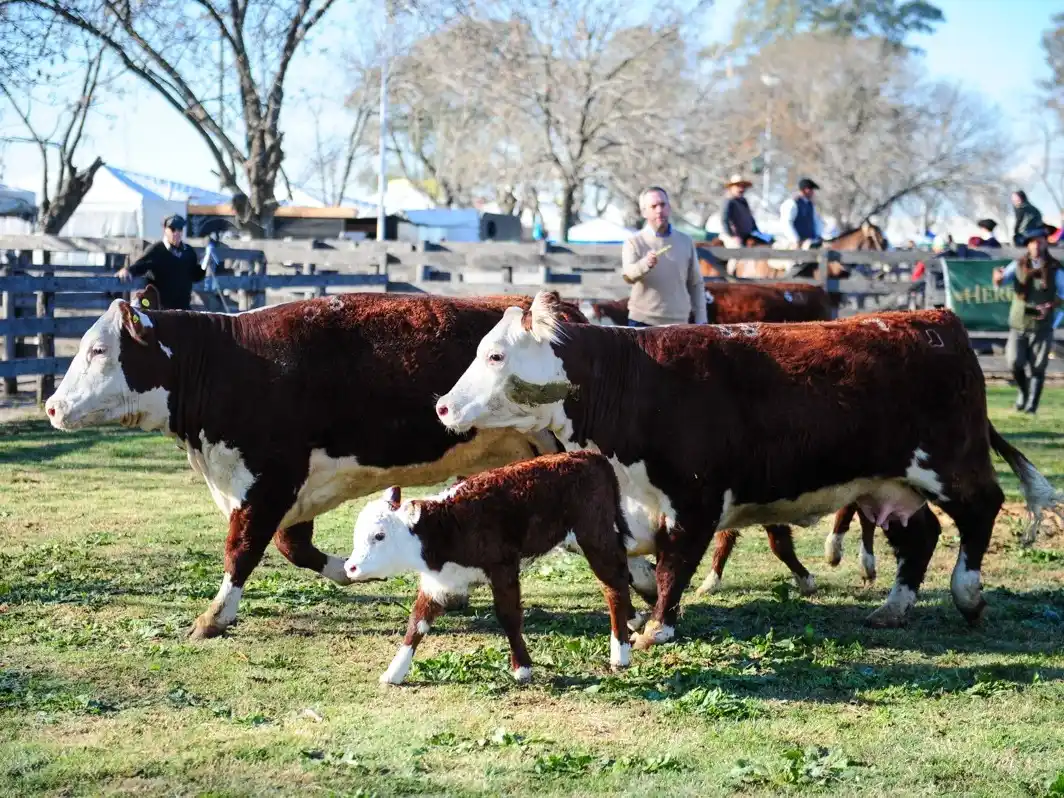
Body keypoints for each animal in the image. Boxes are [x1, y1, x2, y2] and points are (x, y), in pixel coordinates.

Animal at [43, 292, 619, 641]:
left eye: (98, 350)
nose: (51, 405)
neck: (229, 363)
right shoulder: (290, 492)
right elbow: (293, 548)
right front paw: (350, 568)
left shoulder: (267, 481)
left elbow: (242, 548)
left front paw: (213, 617)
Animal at [343, 452, 635, 685]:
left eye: (379, 536)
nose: (351, 567)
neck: (446, 527)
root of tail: (588, 455)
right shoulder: (438, 582)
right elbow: (417, 623)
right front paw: (394, 672)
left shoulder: (503, 568)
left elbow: (508, 616)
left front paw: (522, 669)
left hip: (594, 537)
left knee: (613, 585)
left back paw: (620, 652)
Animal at [435, 291, 1063, 650]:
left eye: (495, 355)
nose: (442, 406)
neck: (633, 386)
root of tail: (937, 320)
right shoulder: (628, 502)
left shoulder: (694, 498)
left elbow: (676, 564)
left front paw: (657, 626)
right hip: (890, 482)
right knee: (921, 533)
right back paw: (893, 607)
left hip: (951, 462)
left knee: (980, 511)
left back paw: (968, 595)